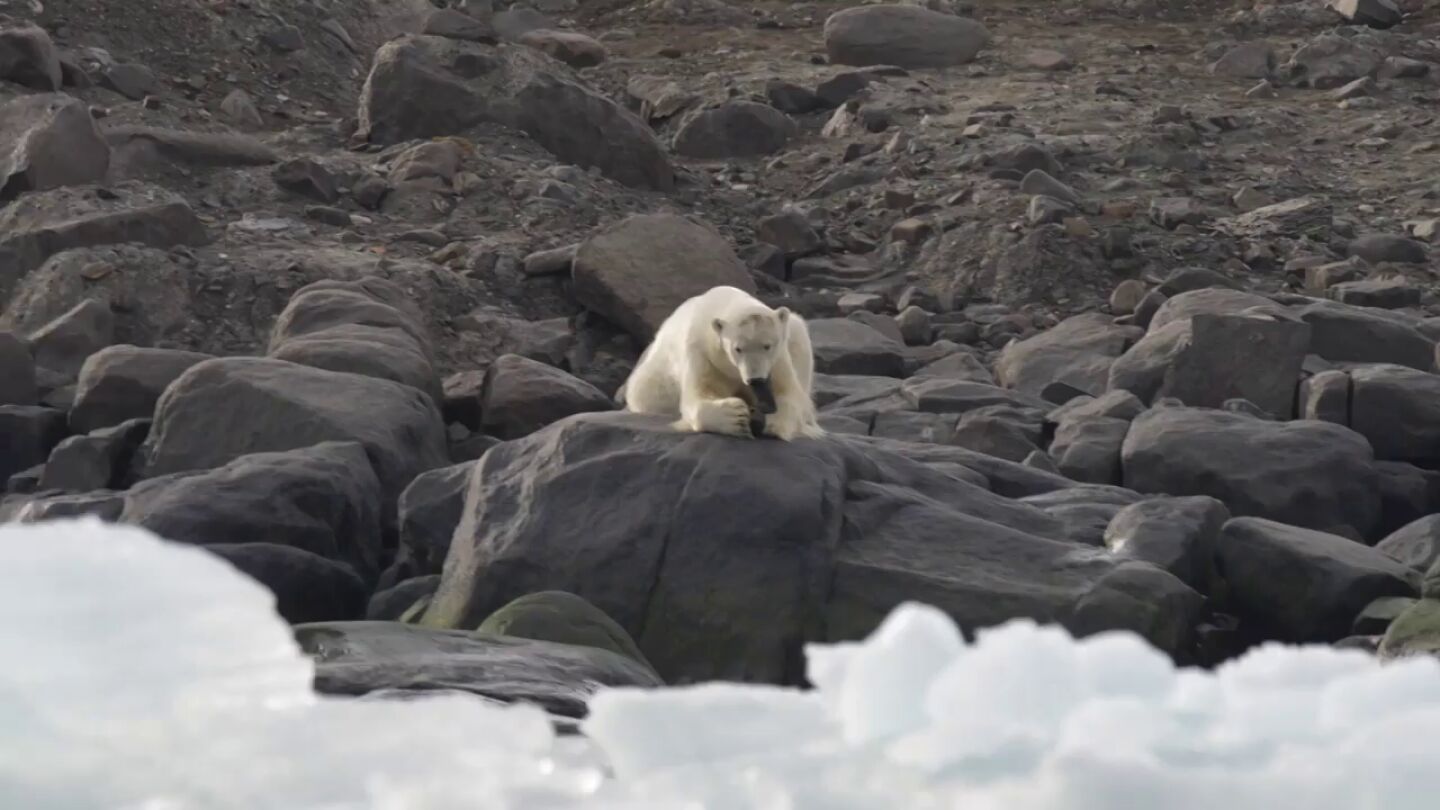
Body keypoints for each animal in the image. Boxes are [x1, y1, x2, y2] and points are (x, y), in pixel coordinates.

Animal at [619, 285, 825, 441]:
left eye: (767, 346)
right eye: (738, 348)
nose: (755, 380)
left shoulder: (778, 360)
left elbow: (790, 394)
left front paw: (773, 423)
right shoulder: (703, 354)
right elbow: (698, 397)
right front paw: (737, 417)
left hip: (796, 335)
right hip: (653, 377)